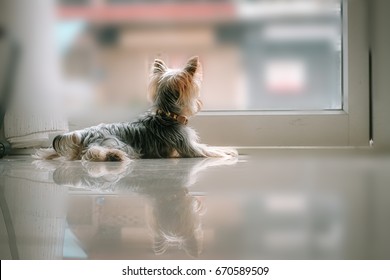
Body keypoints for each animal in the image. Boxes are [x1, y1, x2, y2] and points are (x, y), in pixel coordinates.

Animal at [35, 56, 238, 162]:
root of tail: (84, 133)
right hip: (115, 142)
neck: (168, 115)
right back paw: (115, 155)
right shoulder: (188, 146)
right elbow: (208, 150)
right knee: (92, 153)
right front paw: (227, 152)